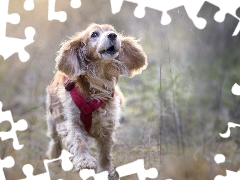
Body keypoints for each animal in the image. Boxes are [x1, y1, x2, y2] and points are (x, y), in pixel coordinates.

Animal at [44, 23, 146, 175]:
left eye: (113, 31)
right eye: (94, 34)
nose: (113, 35)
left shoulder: (107, 124)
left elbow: (105, 151)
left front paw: (105, 169)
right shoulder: (71, 121)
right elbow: (79, 141)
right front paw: (84, 161)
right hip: (53, 120)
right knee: (55, 141)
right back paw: (54, 157)